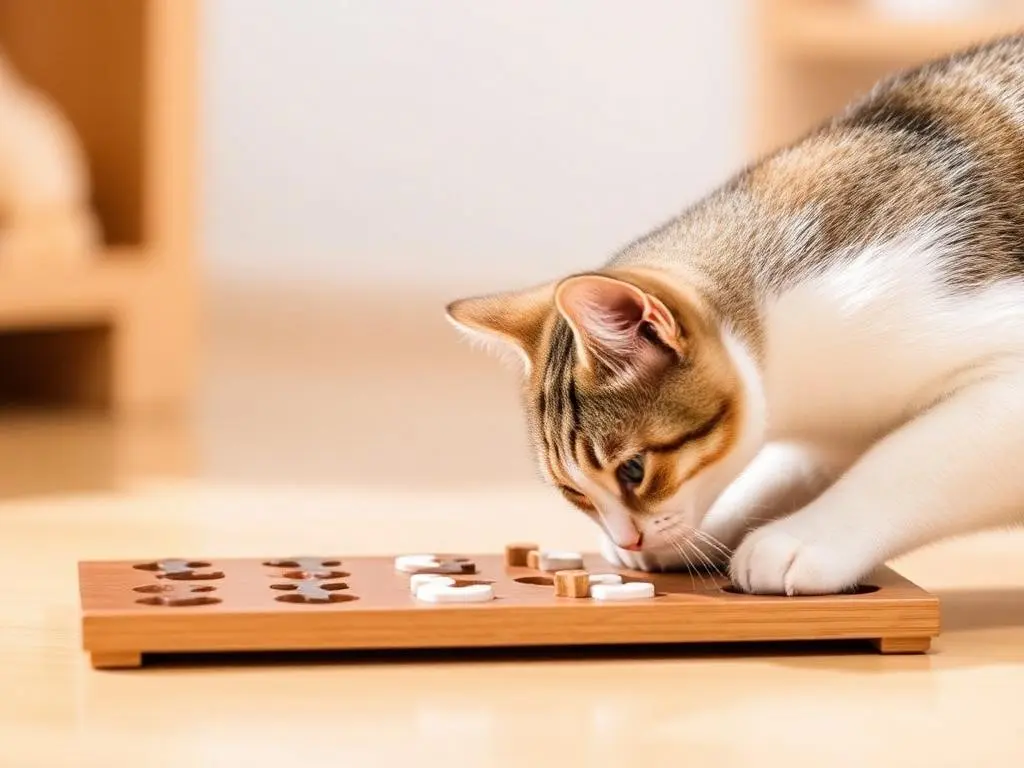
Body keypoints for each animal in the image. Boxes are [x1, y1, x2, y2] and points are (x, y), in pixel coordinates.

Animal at [446, 33, 1024, 598]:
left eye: (633, 470)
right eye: (573, 491)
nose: (628, 539)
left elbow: (904, 462)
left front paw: (799, 540)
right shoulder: (831, 429)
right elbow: (783, 471)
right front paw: (711, 529)